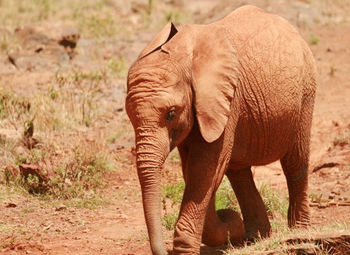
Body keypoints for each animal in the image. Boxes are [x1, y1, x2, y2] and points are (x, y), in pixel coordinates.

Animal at [125, 4, 318, 255]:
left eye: (170, 114)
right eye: (129, 117)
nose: (228, 214)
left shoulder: (226, 99)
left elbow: (204, 169)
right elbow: (197, 170)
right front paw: (231, 225)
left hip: (306, 91)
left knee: (295, 161)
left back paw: (298, 232)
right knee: (238, 171)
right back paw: (256, 236)